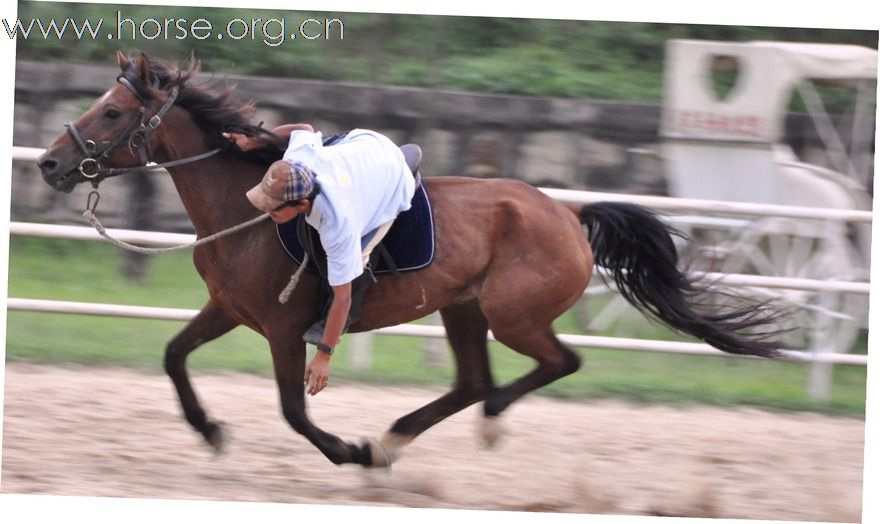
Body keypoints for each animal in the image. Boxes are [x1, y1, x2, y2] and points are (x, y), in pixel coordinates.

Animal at [34, 55, 784, 468]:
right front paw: (210, 429)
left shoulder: (284, 329)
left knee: (553, 364)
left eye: (111, 112)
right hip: (464, 310)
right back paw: (399, 438)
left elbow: (295, 411)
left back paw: (469, 428)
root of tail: (568, 215)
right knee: (473, 382)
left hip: (513, 315)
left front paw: (349, 451)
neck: (248, 211)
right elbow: (173, 355)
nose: (48, 163)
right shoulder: (230, 309)